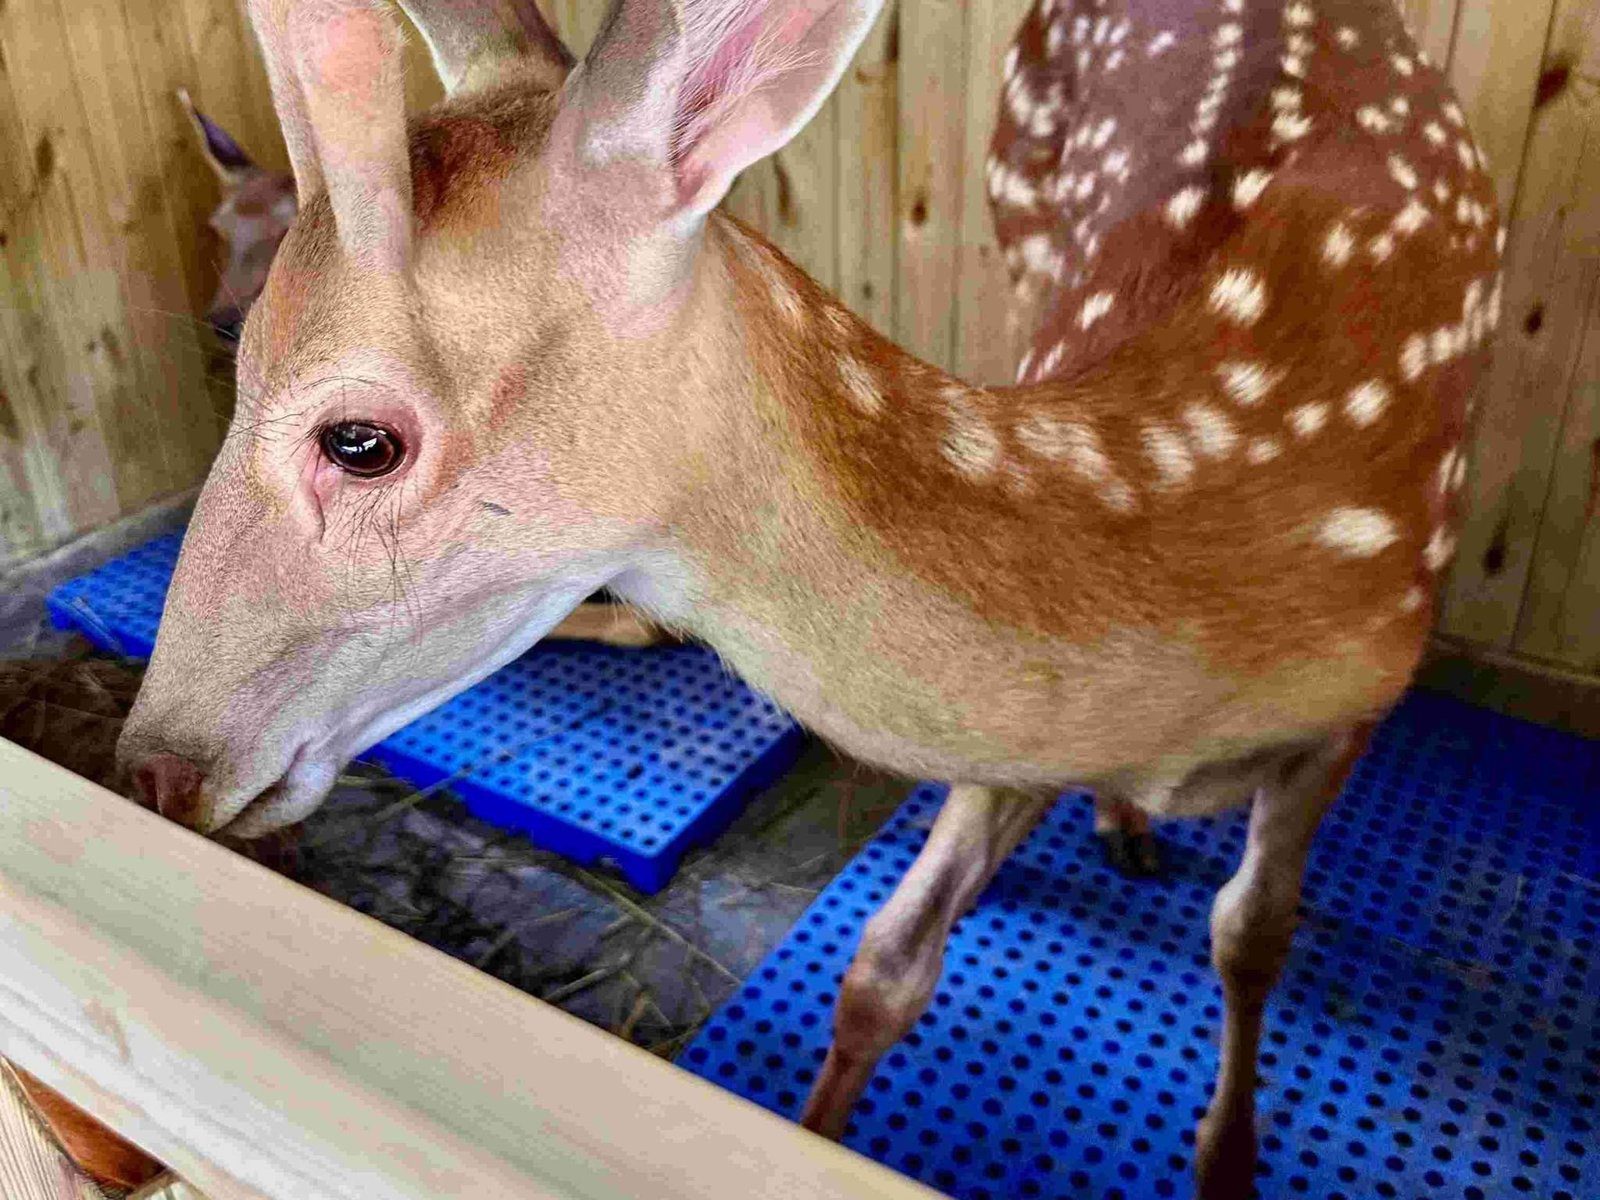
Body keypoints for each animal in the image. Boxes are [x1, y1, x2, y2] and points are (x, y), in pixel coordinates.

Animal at [116, 0, 1501, 1194]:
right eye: (233, 353)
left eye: (359, 441)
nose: (153, 763)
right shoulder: (1007, 742)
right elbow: (884, 968)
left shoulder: (1359, 702)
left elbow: (1251, 932)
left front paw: (1229, 1159)